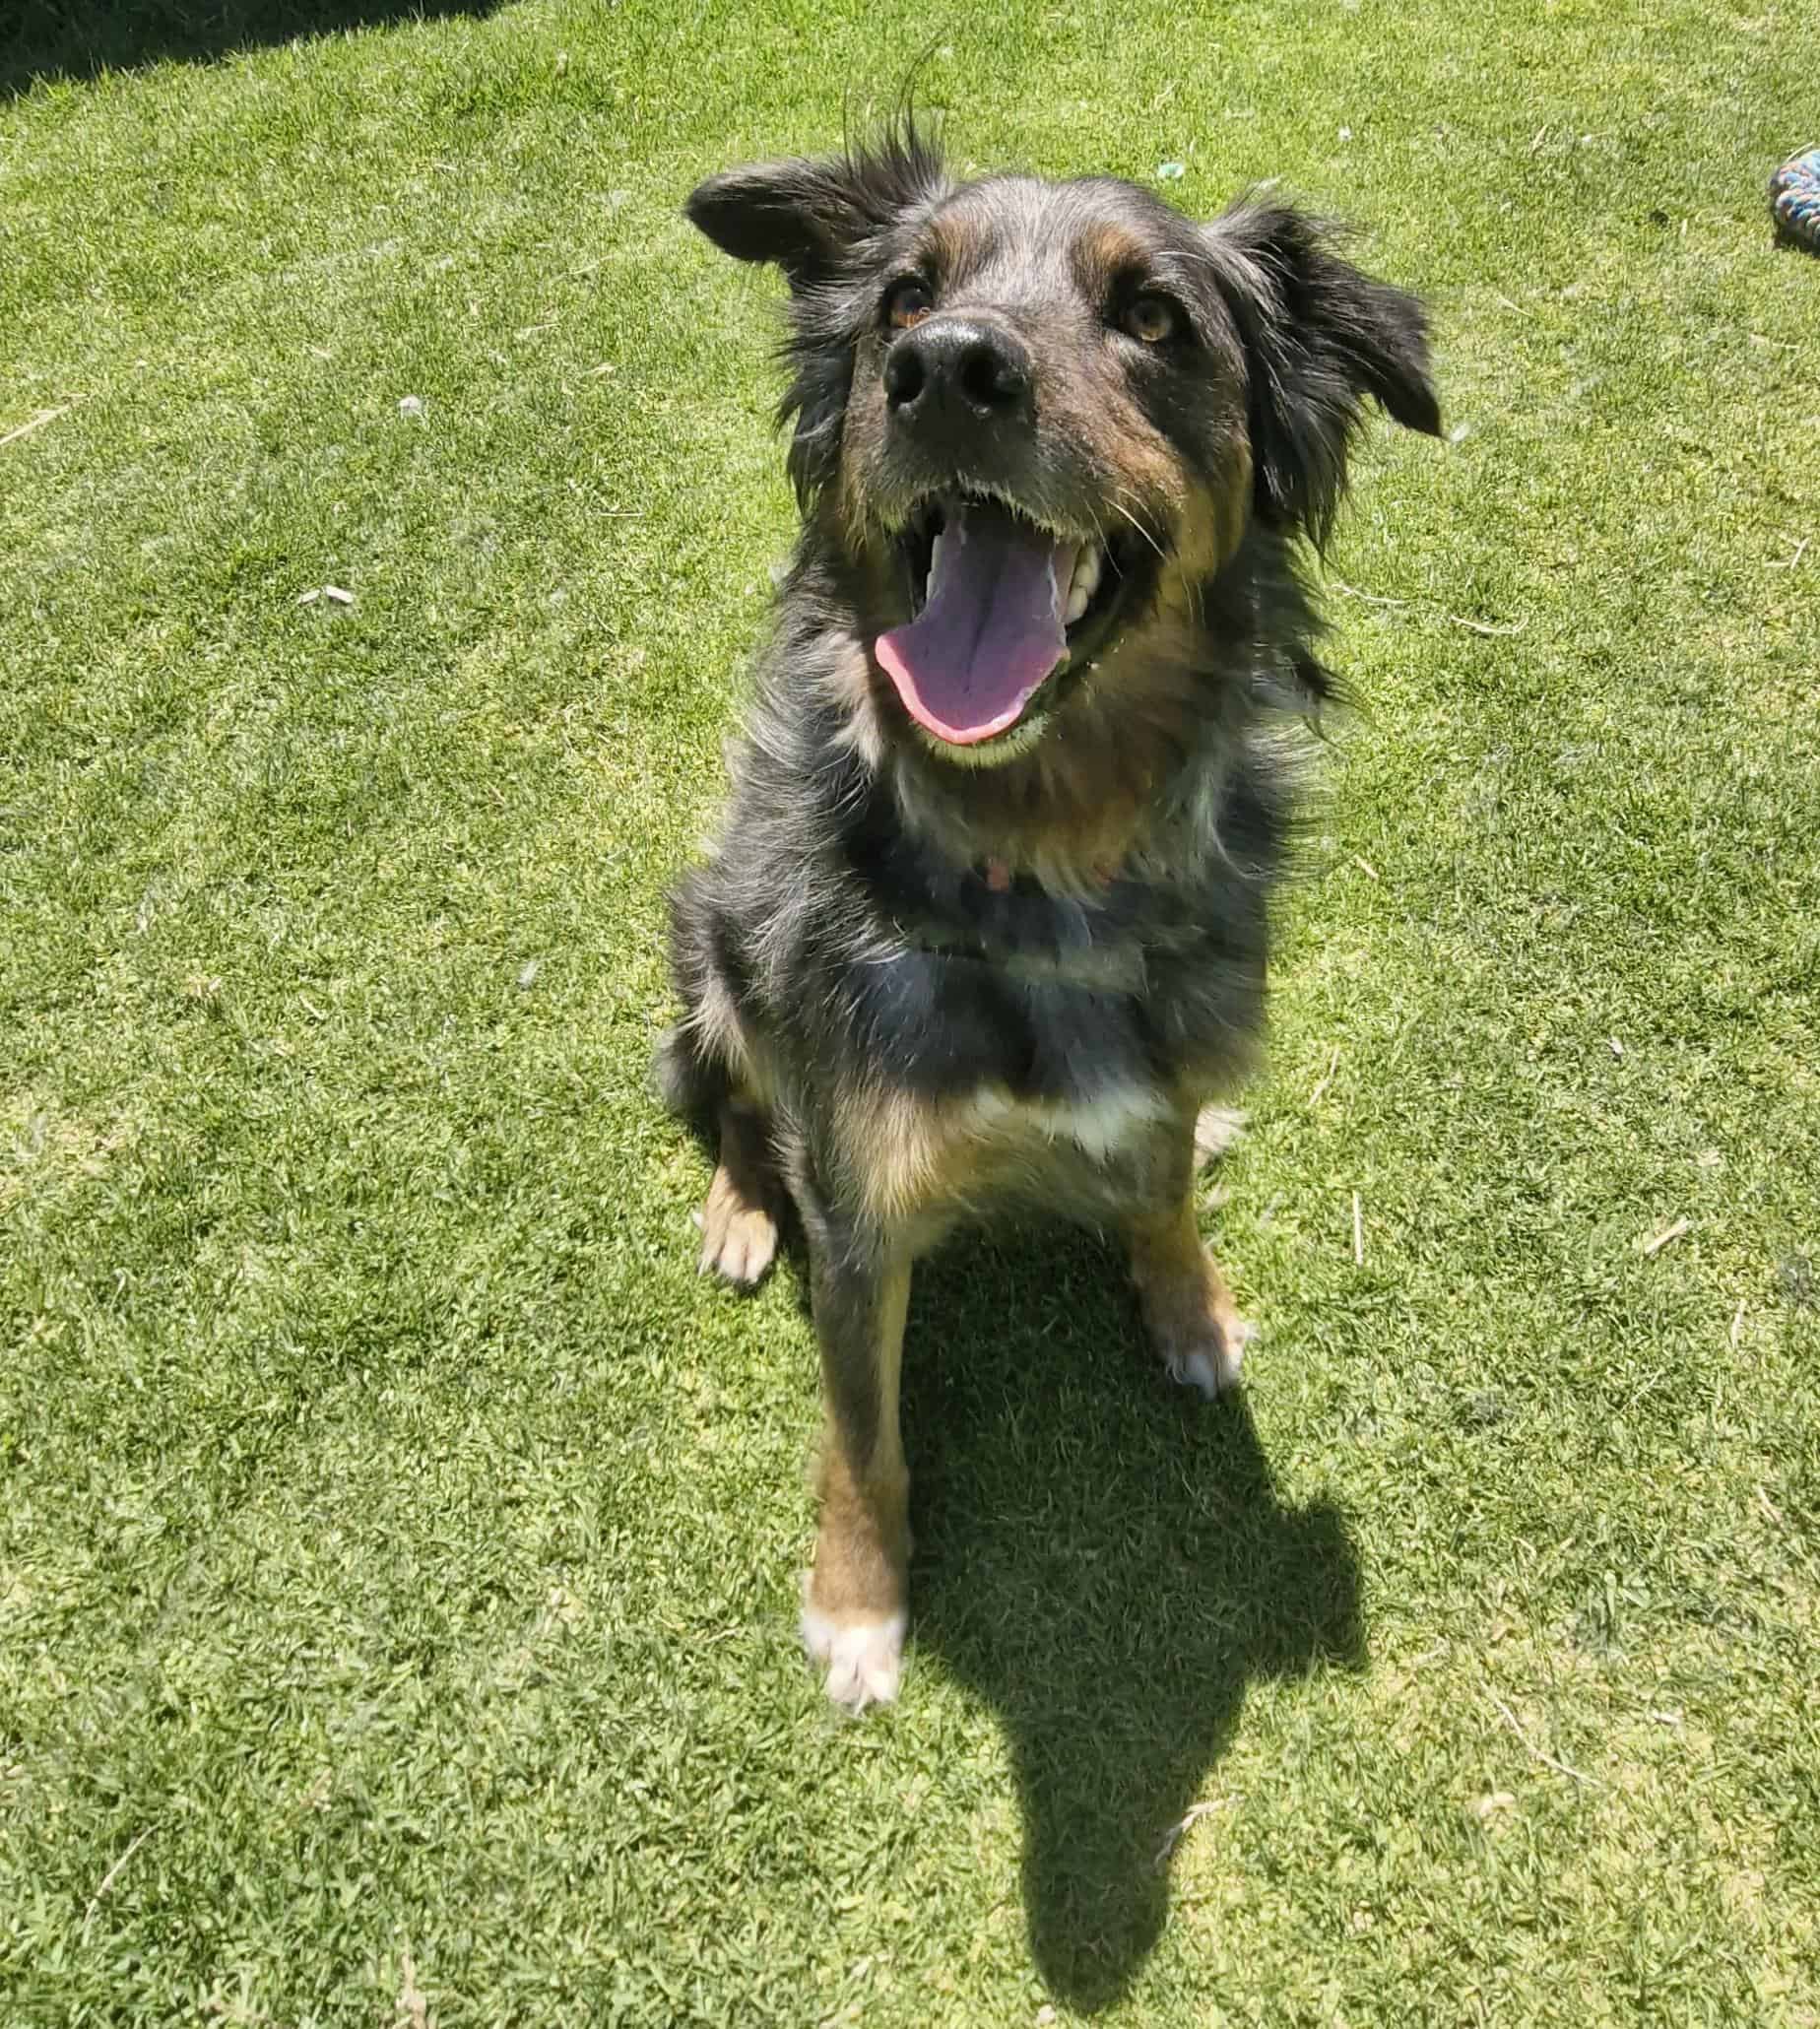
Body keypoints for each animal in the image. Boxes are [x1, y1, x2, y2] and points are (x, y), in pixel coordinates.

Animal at [656, 123, 1439, 1710]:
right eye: (903, 296)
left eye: (1154, 317)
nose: (948, 369)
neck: (1041, 864)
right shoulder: (861, 1202)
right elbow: (863, 1436)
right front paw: (857, 1600)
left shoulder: (1177, 1046)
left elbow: (1165, 1190)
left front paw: (1192, 1303)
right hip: (712, 943)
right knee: (732, 1099)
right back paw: (740, 1208)